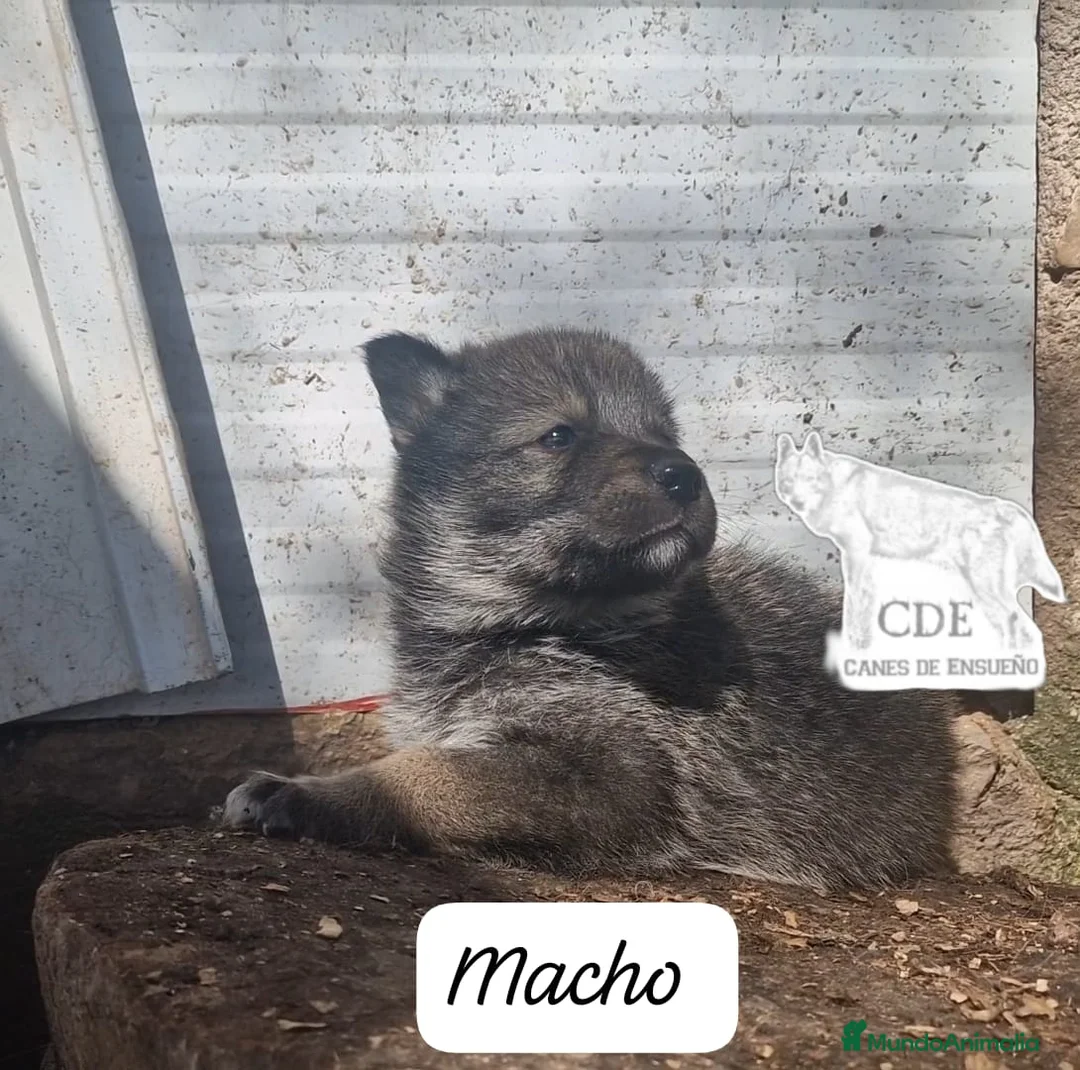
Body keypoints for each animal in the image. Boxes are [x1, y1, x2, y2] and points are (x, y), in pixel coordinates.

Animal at [222, 328, 956, 891]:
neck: (537, 626)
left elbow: (428, 773)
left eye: (665, 433)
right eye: (559, 436)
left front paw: (305, 792)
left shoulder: (610, 774)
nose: (684, 474)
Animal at [774, 430, 1066, 652]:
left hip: (986, 588)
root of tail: (1007, 508)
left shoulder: (856, 553)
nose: (798, 502)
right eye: (789, 481)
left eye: (810, 480)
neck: (835, 486)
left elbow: (855, 605)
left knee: (1022, 628)